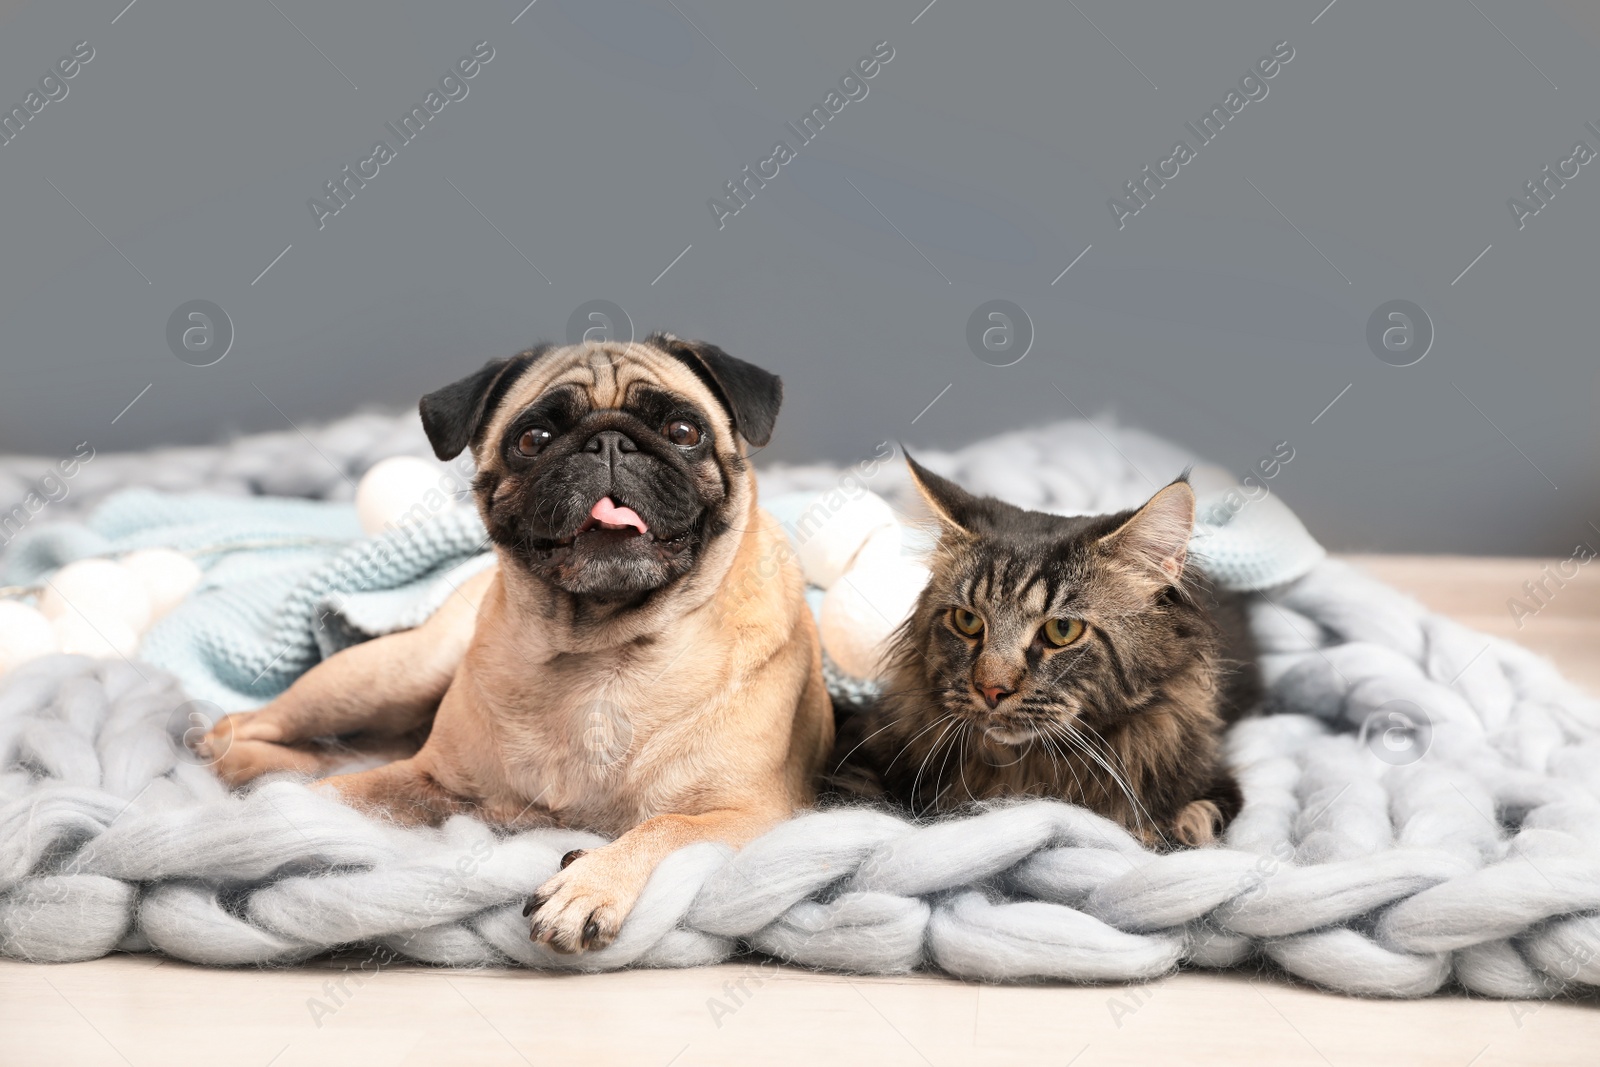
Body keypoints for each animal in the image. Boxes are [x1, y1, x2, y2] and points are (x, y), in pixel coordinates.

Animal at [196, 331, 838, 953]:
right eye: (534, 439)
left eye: (684, 432)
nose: (608, 443)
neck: (604, 650)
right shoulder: (430, 782)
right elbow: (339, 792)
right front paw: (268, 825)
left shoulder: (759, 816)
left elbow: (666, 825)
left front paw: (588, 884)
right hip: (390, 674)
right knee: (254, 724)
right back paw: (230, 763)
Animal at [825, 460, 1260, 851]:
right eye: (968, 620)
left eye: (1061, 630)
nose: (991, 689)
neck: (1024, 768)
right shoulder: (856, 756)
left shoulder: (1209, 792)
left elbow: (1177, 828)